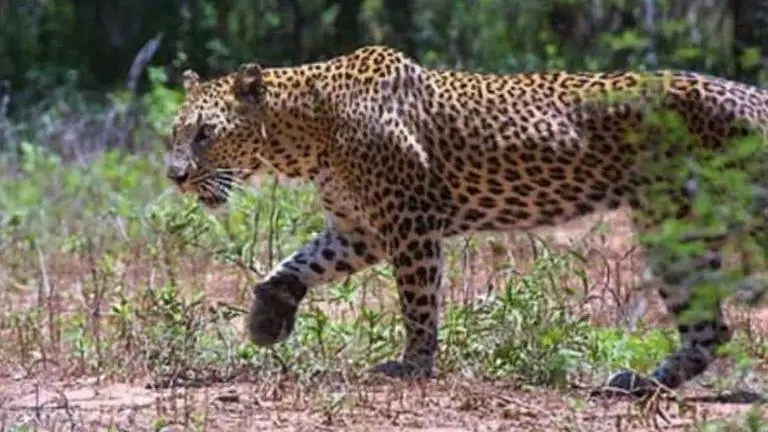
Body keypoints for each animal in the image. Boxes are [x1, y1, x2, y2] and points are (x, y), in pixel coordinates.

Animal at [166, 44, 768, 394]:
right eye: (174, 133)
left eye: (205, 133)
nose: (174, 176)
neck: (307, 129)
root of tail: (753, 96)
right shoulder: (361, 230)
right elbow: (298, 263)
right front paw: (267, 319)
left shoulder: (409, 223)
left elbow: (418, 303)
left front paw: (414, 366)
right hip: (675, 228)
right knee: (709, 329)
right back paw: (638, 384)